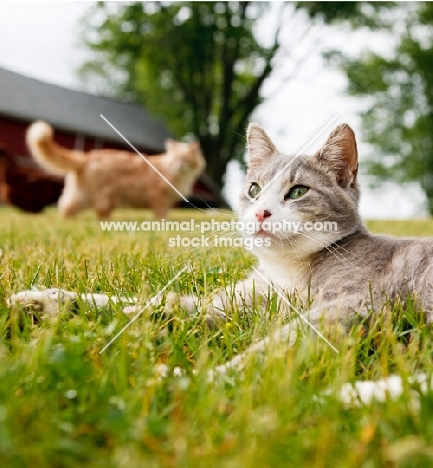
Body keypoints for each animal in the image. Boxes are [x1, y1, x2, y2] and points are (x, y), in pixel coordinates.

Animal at [8, 121, 432, 376]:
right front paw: (47, 300)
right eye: (254, 189)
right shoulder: (237, 304)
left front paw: (200, 378)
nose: (260, 212)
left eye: (297, 192)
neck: (285, 271)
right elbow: (148, 302)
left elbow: (275, 346)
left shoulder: (356, 306)